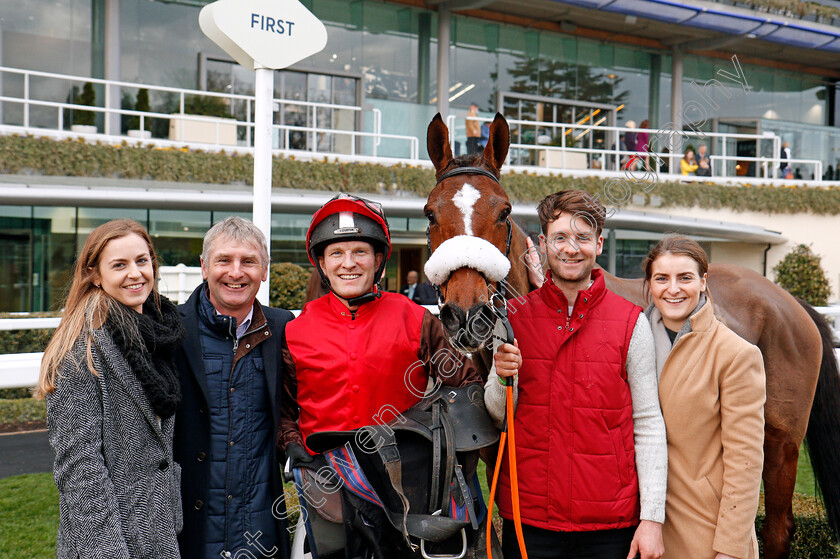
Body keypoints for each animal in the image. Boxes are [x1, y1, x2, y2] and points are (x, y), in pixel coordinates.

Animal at [424, 111, 840, 556]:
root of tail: (791, 303)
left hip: (779, 444)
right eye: (430, 214)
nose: (468, 315)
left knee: (776, 528)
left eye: (503, 212)